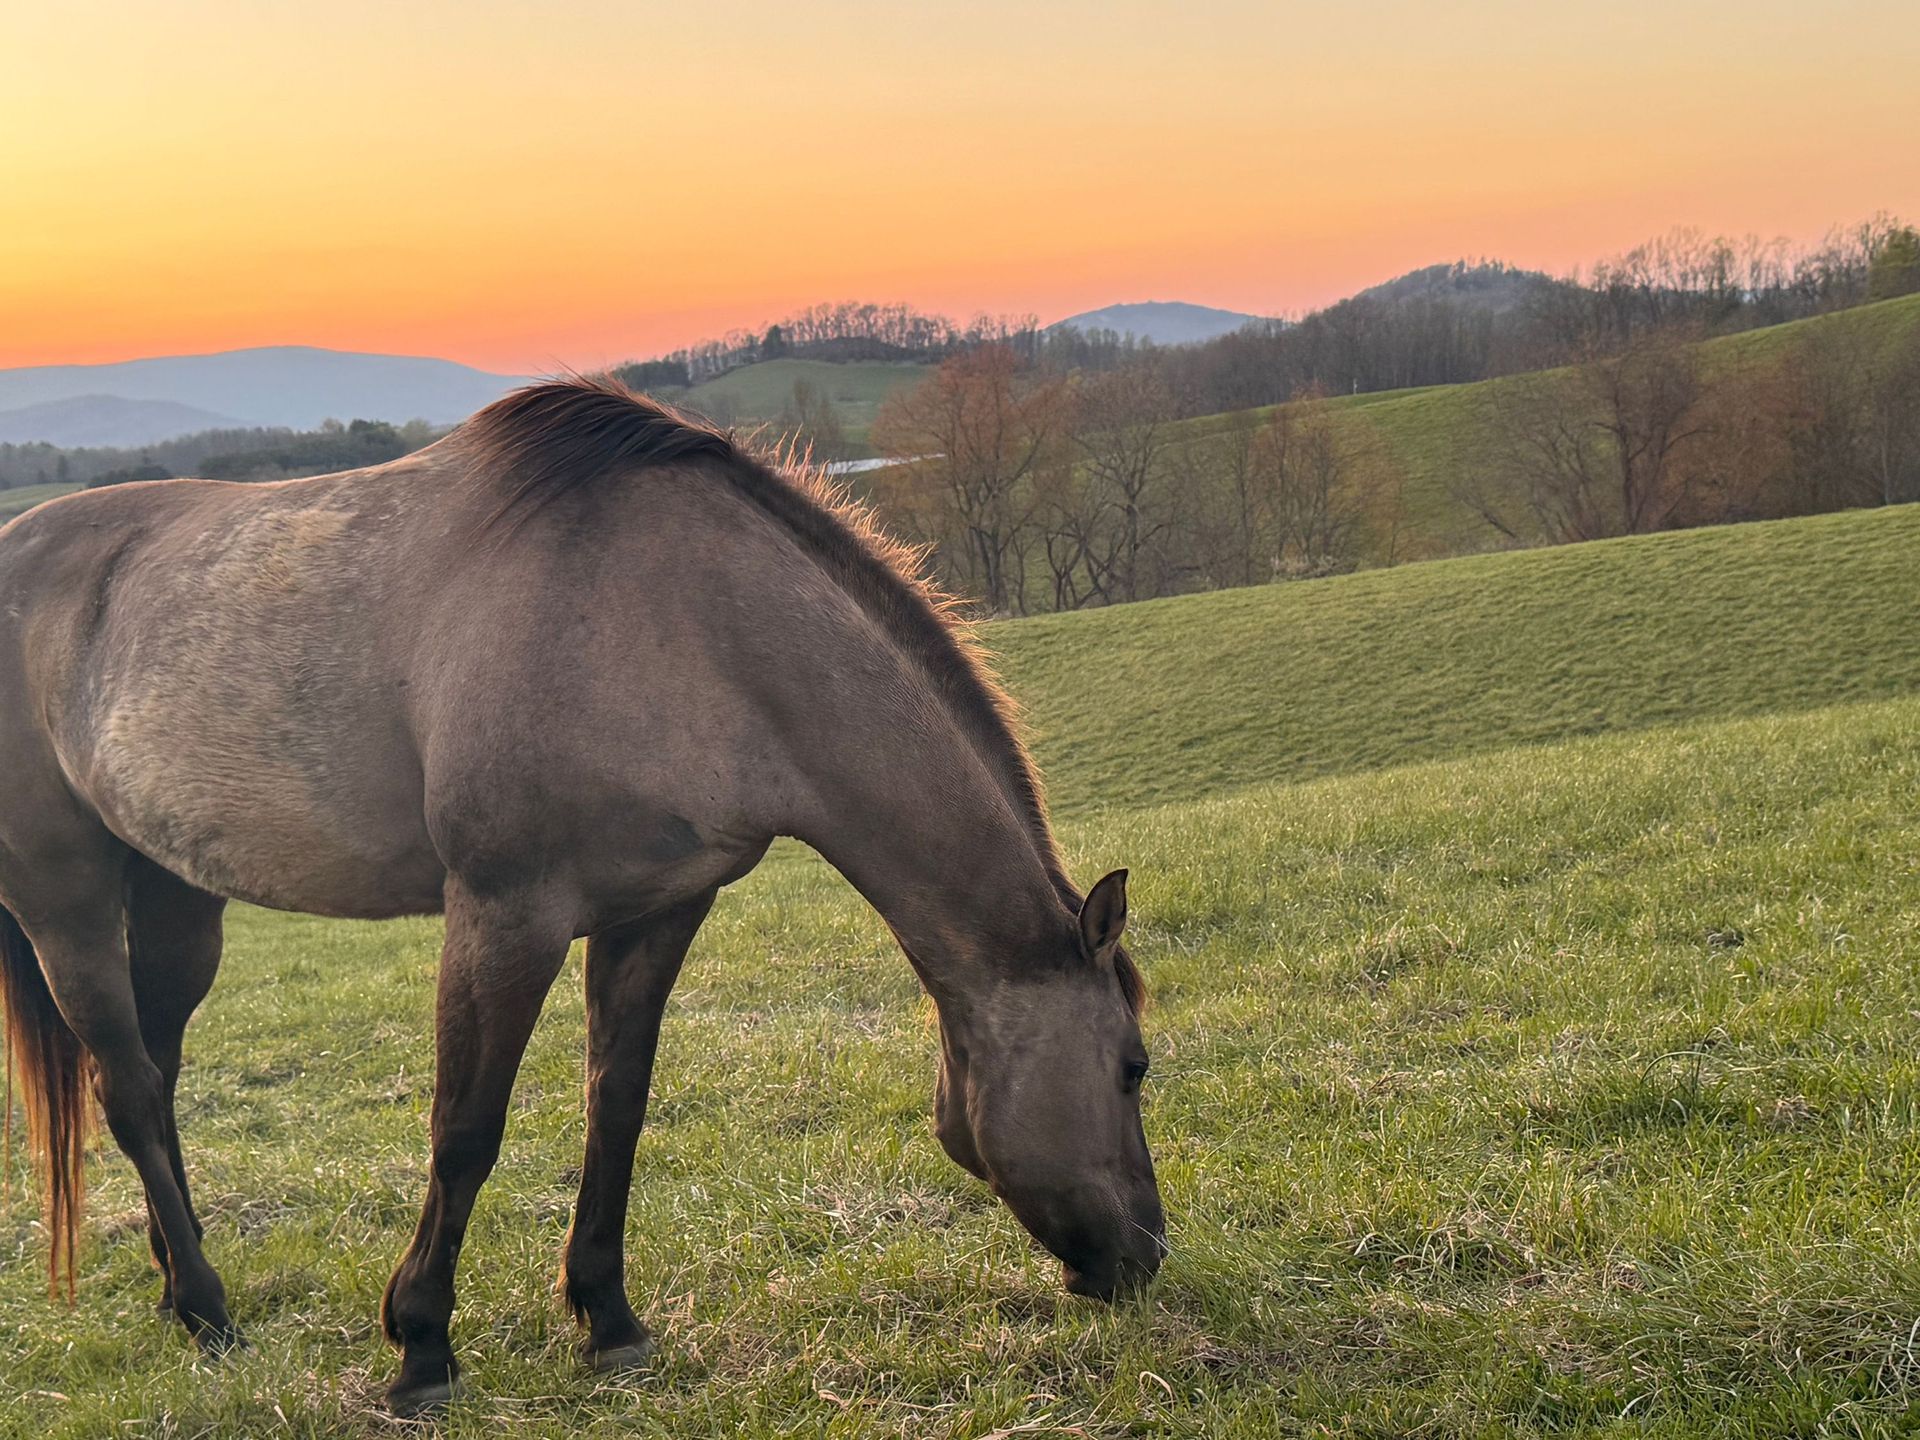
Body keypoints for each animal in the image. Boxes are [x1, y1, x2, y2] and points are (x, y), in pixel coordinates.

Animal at [0, 377, 1164, 1415]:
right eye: (1135, 1067)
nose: (1145, 1256)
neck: (690, 628)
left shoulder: (658, 913)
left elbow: (619, 1108)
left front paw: (608, 1321)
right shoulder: (505, 916)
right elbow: (466, 1126)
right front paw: (422, 1349)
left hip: (177, 902)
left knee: (157, 1073)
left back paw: (176, 1289)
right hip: (65, 903)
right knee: (127, 1089)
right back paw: (208, 1311)